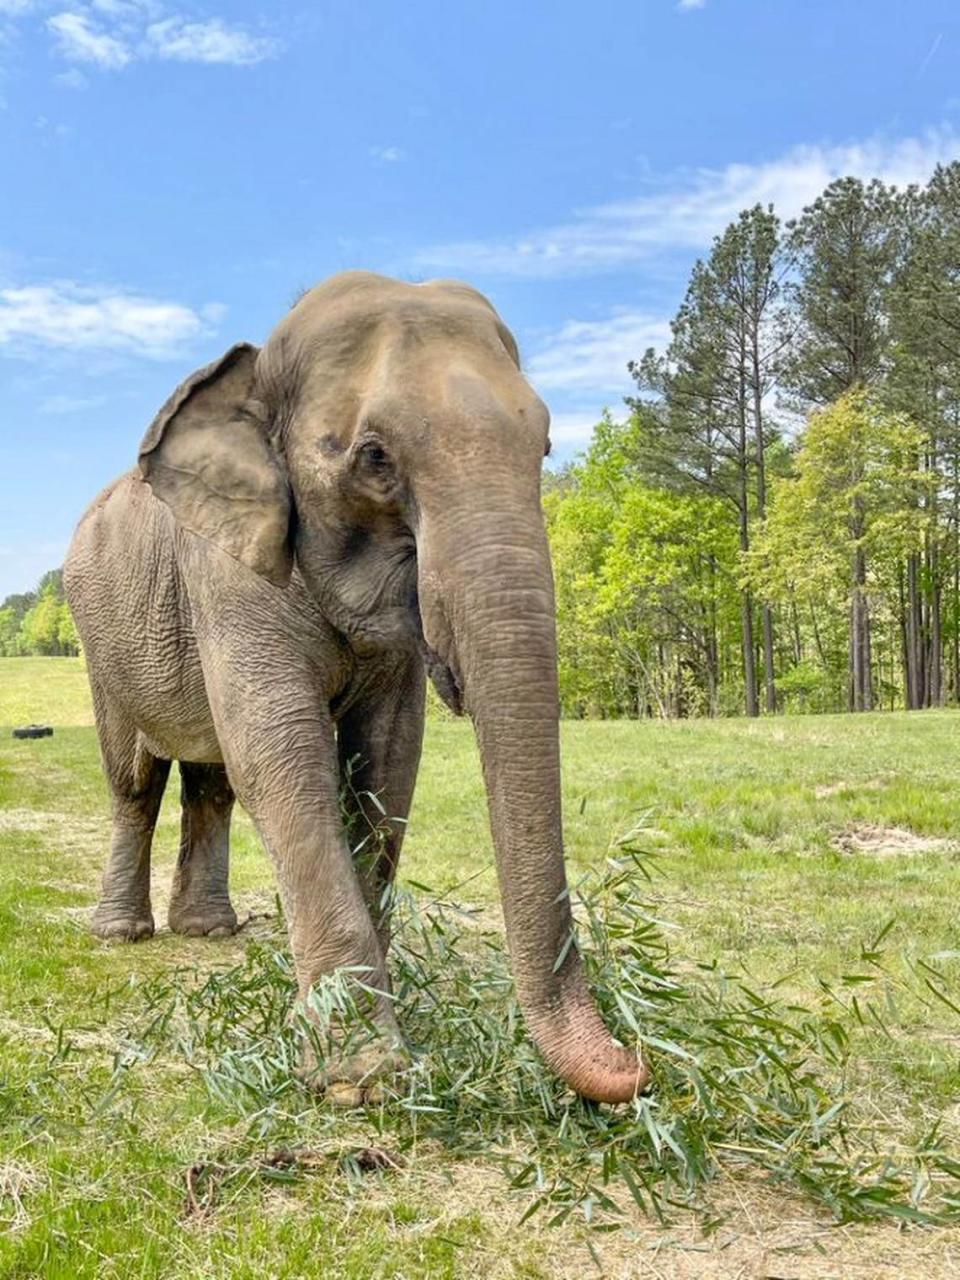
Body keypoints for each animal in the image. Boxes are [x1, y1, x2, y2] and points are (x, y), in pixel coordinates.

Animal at [65, 267, 655, 1100]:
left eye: (543, 444)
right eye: (375, 458)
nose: (634, 1064)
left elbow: (386, 761)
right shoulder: (227, 570)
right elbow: (282, 755)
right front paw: (363, 1073)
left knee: (211, 781)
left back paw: (208, 930)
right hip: (98, 641)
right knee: (135, 780)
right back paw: (121, 934)